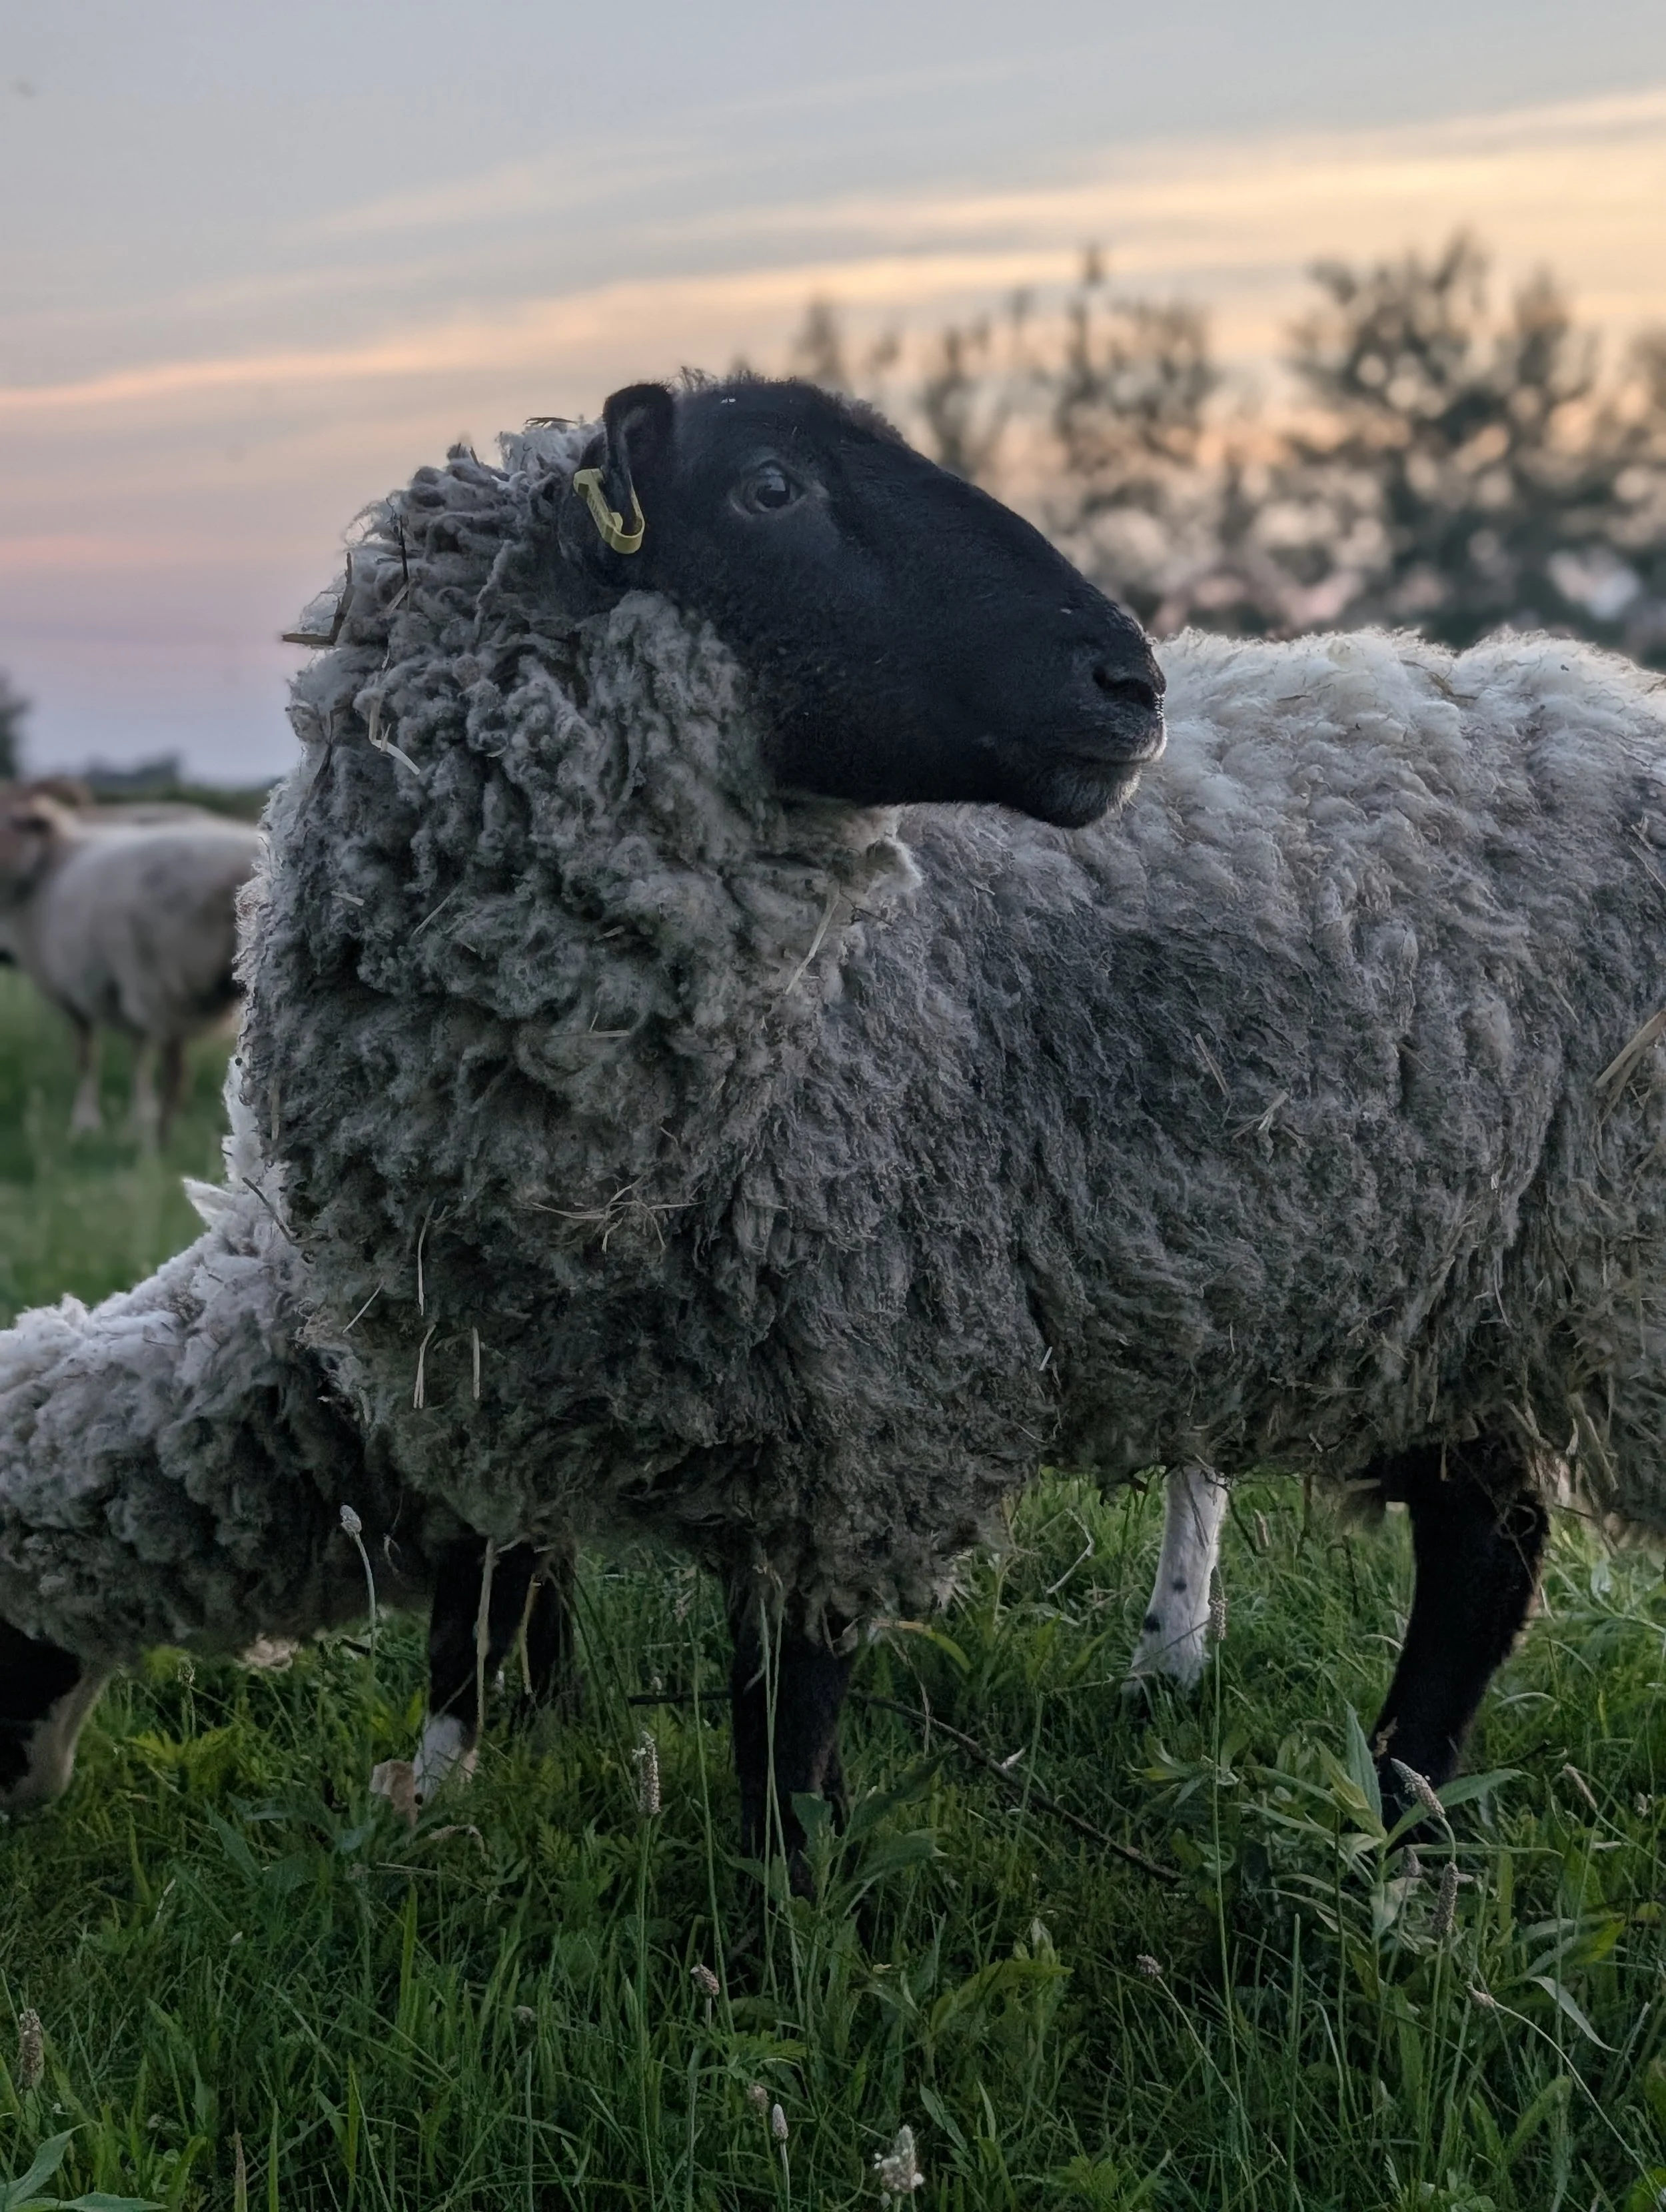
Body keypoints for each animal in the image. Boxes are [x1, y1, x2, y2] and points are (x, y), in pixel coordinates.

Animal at [0, 787, 260, 1138]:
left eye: (15, 821)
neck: (45, 869)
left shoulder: (75, 992)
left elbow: (87, 1057)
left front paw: (85, 1123)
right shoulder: (121, 991)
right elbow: (138, 1052)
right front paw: (136, 1116)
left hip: (167, 982)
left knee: (177, 1076)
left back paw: (158, 1143)